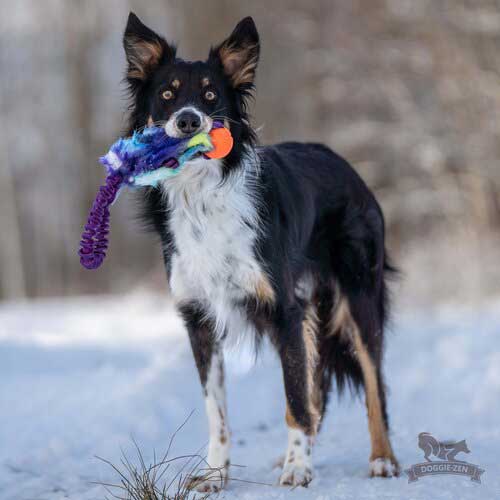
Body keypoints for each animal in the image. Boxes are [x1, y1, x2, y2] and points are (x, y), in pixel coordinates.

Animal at [121, 11, 398, 492]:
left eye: (211, 95)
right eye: (167, 95)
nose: (188, 121)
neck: (201, 196)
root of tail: (348, 167)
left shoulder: (283, 309)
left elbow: (295, 395)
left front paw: (299, 468)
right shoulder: (199, 318)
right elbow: (218, 412)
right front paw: (215, 475)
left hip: (358, 296)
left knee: (371, 382)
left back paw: (381, 459)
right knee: (318, 384)